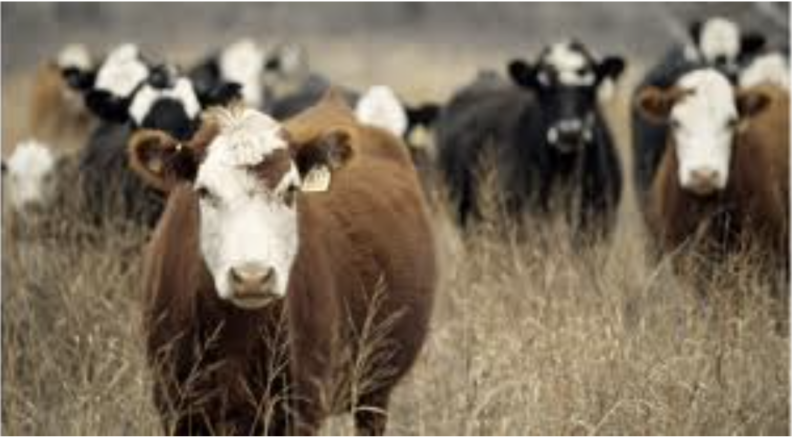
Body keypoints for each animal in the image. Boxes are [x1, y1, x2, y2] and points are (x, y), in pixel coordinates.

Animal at [127, 92, 436, 435]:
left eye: (291, 190)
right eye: (204, 191)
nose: (252, 276)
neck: (235, 339)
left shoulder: (299, 407)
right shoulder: (176, 406)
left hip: (374, 388)